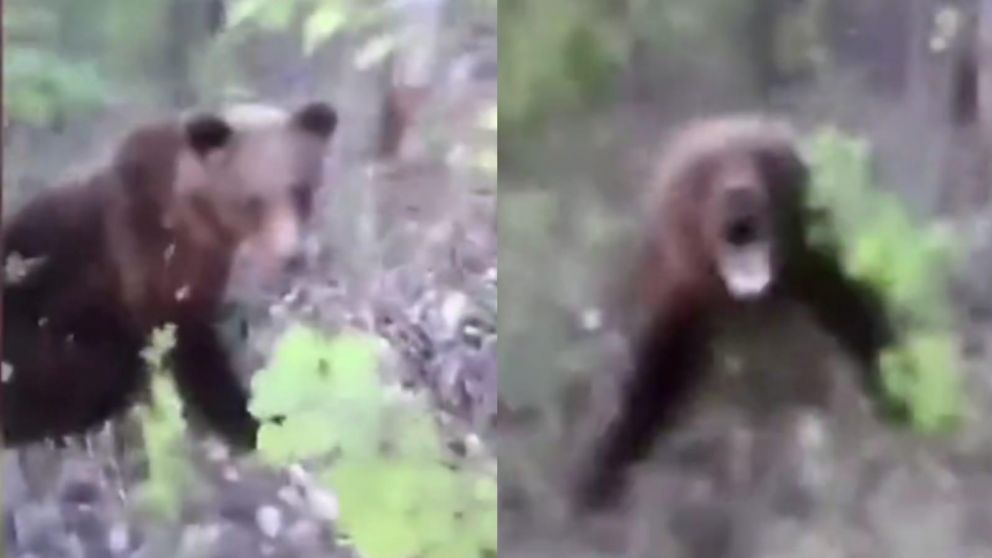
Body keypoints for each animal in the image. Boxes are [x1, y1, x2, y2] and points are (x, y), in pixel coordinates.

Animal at [1, 101, 338, 450]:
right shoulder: (143, 253)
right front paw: (252, 421)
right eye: (253, 201)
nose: (292, 256)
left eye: (300, 190)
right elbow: (185, 341)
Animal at [571, 114, 895, 511]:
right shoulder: (680, 298)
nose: (739, 193)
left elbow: (857, 312)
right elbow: (653, 376)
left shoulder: (812, 268)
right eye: (703, 175)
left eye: (763, 161)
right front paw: (603, 466)